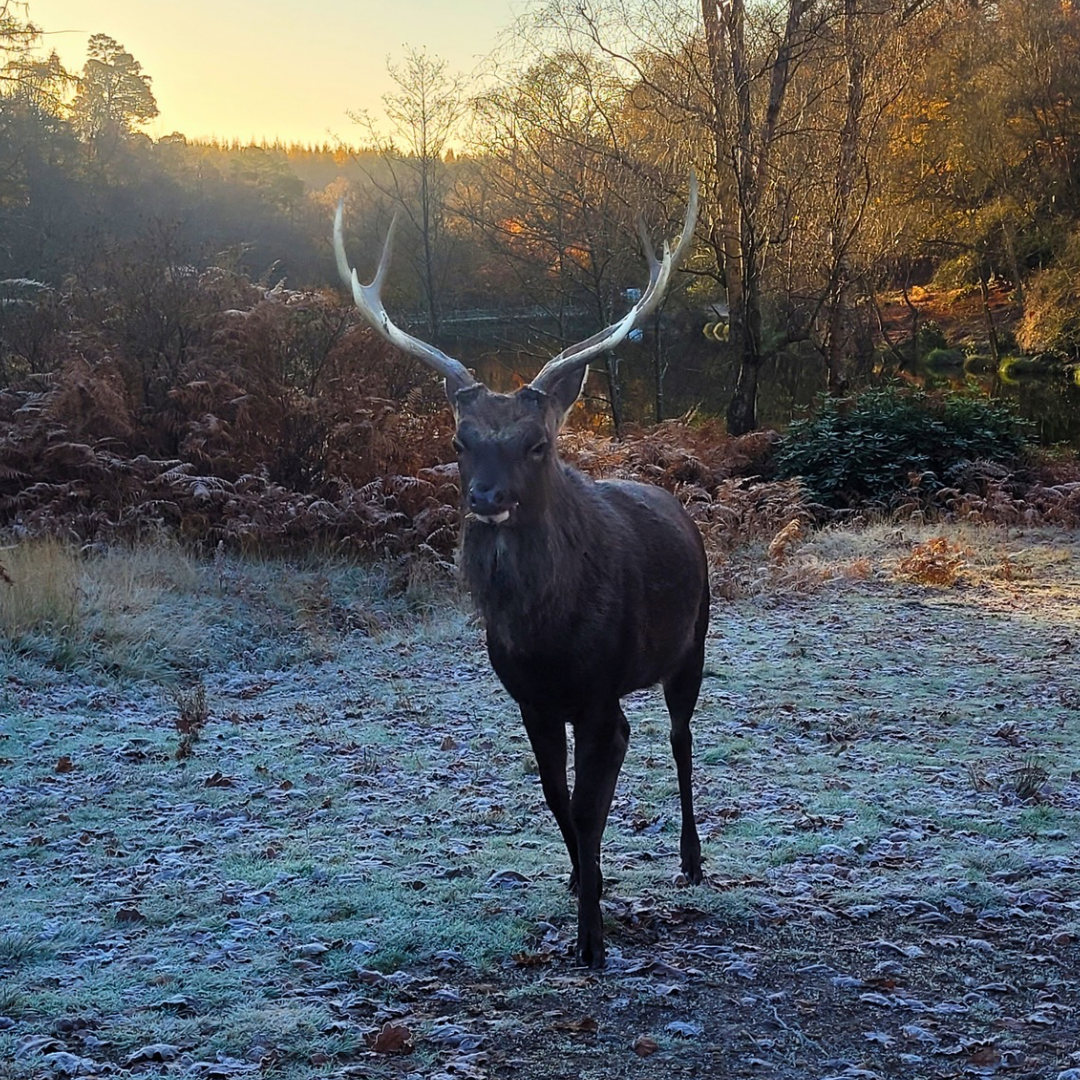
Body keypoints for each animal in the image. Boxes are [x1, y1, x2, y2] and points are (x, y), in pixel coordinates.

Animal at [333, 176, 707, 968]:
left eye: (537, 443)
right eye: (459, 439)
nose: (486, 498)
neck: (548, 640)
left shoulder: (600, 698)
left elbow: (592, 809)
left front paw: (593, 943)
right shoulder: (531, 703)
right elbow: (558, 802)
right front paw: (580, 884)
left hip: (691, 644)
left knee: (682, 740)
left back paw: (692, 860)